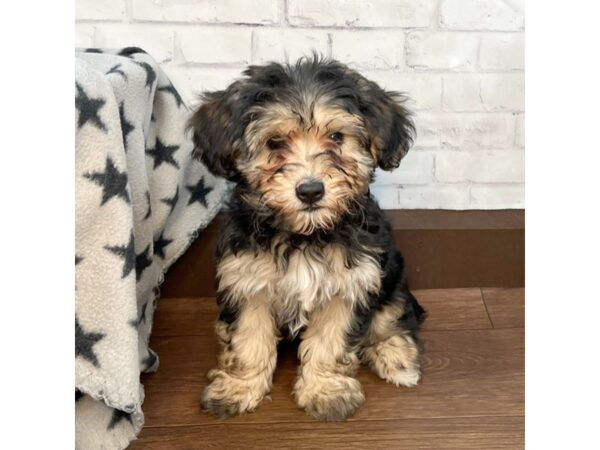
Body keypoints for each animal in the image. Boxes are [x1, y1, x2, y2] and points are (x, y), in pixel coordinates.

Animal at [190, 56, 424, 422]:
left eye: (337, 137)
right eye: (274, 143)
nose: (311, 191)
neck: (304, 236)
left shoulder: (350, 285)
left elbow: (330, 341)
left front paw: (327, 392)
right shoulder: (246, 281)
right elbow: (249, 340)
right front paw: (238, 388)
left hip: (391, 276)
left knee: (393, 315)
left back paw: (396, 357)